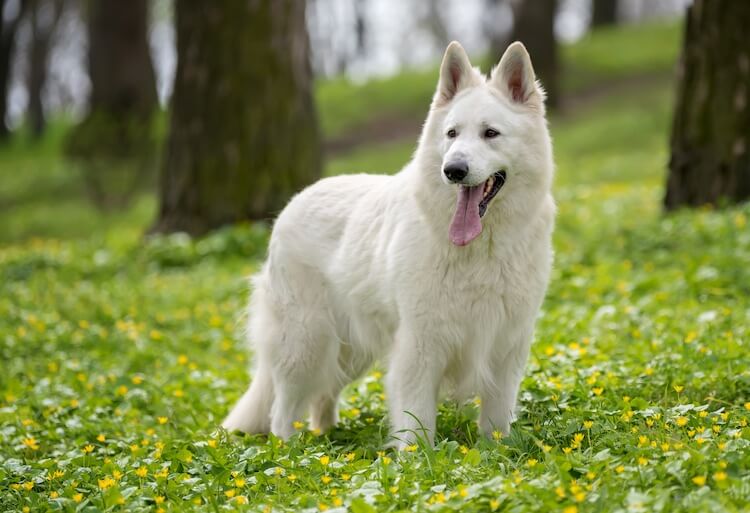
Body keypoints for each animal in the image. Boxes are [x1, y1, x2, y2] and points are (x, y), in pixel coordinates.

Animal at [220, 41, 556, 448]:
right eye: (452, 133)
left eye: (491, 133)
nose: (453, 170)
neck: (480, 249)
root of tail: (294, 202)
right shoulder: (420, 347)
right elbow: (416, 422)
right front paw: (417, 461)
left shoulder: (506, 346)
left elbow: (496, 417)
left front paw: (497, 451)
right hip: (306, 344)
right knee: (283, 409)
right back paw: (293, 451)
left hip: (349, 351)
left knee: (322, 396)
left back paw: (326, 439)